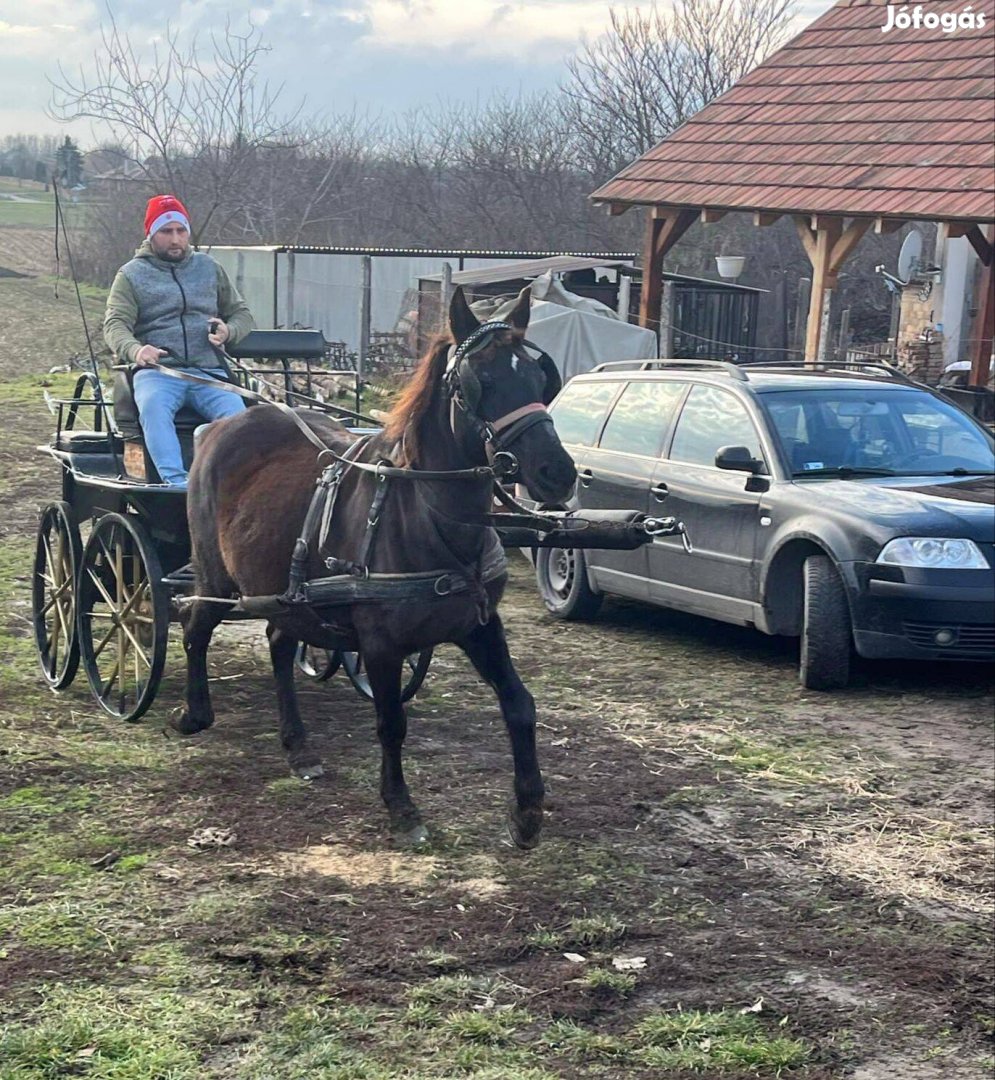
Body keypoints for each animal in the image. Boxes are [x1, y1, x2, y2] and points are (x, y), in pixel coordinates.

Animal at [175, 291, 570, 846]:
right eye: (481, 382)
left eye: (539, 378)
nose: (558, 472)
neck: (427, 514)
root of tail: (223, 424)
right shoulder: (381, 645)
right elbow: (391, 723)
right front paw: (401, 807)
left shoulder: (479, 625)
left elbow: (519, 704)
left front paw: (528, 811)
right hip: (217, 577)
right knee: (195, 626)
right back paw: (194, 712)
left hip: (286, 593)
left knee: (279, 643)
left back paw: (298, 746)